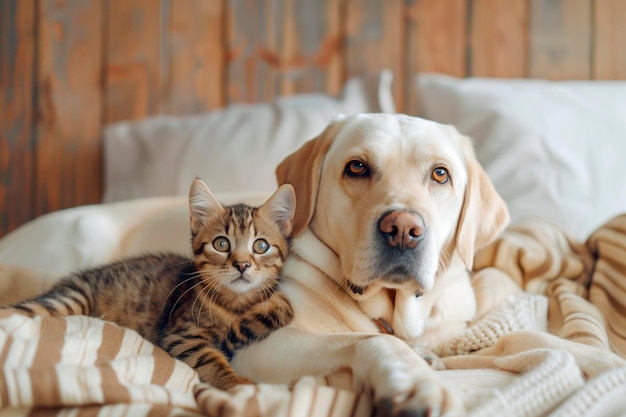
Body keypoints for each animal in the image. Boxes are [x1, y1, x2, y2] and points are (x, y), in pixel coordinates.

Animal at [7, 179, 294, 390]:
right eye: (221, 243)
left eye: (261, 246)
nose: (242, 265)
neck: (235, 302)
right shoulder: (182, 333)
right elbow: (210, 359)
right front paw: (235, 382)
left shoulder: (278, 302)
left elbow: (284, 307)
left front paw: (238, 332)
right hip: (70, 300)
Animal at [232, 113, 510, 412]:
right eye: (357, 167)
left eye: (440, 174)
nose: (403, 230)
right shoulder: (256, 345)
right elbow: (373, 338)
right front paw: (420, 382)